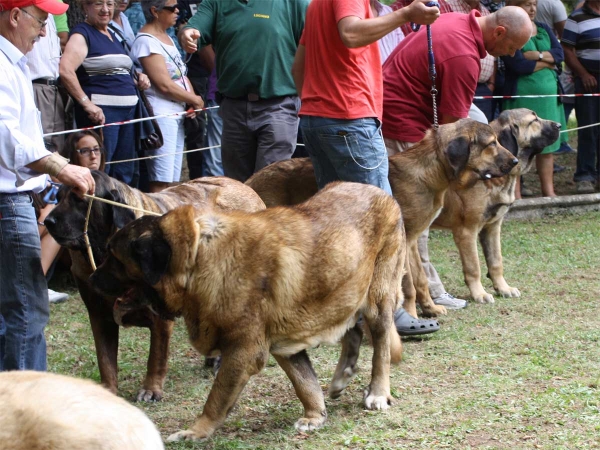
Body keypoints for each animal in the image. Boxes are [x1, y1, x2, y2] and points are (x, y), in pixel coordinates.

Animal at [44, 172, 264, 400]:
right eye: (57, 197)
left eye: (79, 199)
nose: (47, 221)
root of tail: (247, 187)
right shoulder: (99, 316)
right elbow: (105, 359)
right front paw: (107, 390)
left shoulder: (160, 319)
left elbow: (156, 356)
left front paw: (151, 389)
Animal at [90, 182, 408, 440]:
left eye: (113, 257)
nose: (91, 279)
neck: (199, 259)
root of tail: (383, 193)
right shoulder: (284, 346)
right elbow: (304, 382)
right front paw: (315, 416)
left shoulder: (243, 350)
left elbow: (216, 397)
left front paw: (196, 431)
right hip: (343, 290)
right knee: (351, 329)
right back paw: (342, 376)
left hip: (378, 299)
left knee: (380, 347)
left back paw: (378, 393)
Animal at [246, 118, 516, 318]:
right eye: (491, 143)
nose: (515, 161)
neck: (430, 171)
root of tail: (251, 180)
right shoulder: (402, 241)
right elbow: (407, 285)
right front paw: (412, 316)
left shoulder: (413, 240)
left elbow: (420, 280)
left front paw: (430, 308)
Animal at [434, 110, 560, 302]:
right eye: (534, 120)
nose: (559, 125)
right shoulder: (466, 231)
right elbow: (473, 267)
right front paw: (479, 293)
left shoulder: (492, 227)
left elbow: (496, 261)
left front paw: (503, 288)